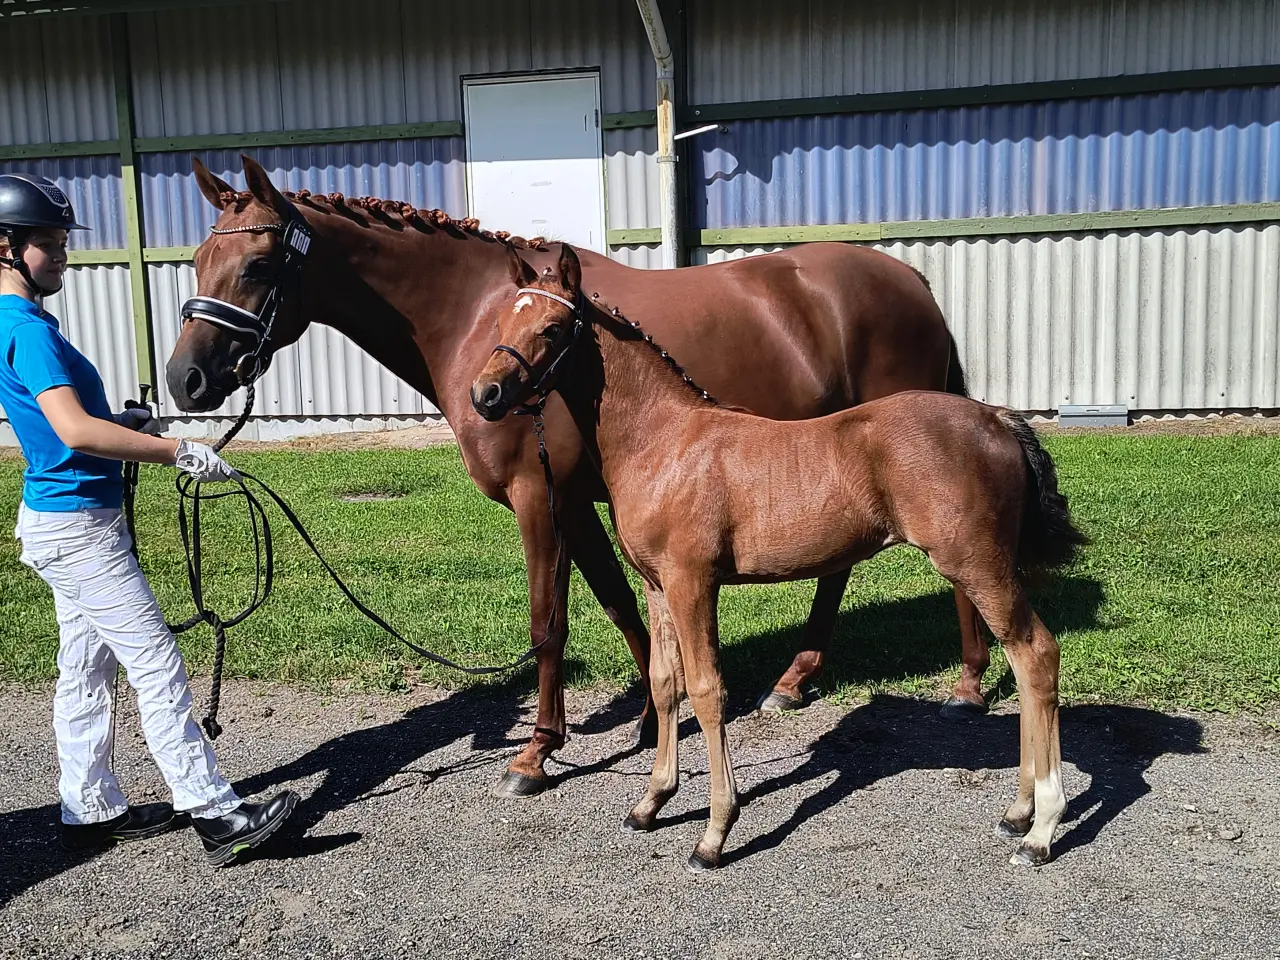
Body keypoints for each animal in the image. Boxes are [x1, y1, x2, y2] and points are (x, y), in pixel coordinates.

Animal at [167, 154, 991, 799]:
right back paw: (797, 680)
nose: (185, 381)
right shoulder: (582, 502)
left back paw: (966, 686)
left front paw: (535, 752)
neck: (480, 318)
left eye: (260, 265)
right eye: (200, 264)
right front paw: (655, 716)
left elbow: (549, 622)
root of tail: (909, 279)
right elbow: (622, 604)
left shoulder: (538, 497)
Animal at [470, 242, 1086, 870]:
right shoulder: (658, 586)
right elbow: (666, 684)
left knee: (1037, 656)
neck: (664, 441)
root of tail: (997, 418)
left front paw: (715, 833)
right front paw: (651, 803)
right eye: (499, 324)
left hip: (979, 566)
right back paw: (1017, 813)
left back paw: (1041, 828)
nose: (485, 396)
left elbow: (706, 690)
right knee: (1024, 662)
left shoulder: (693, 583)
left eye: (552, 327)